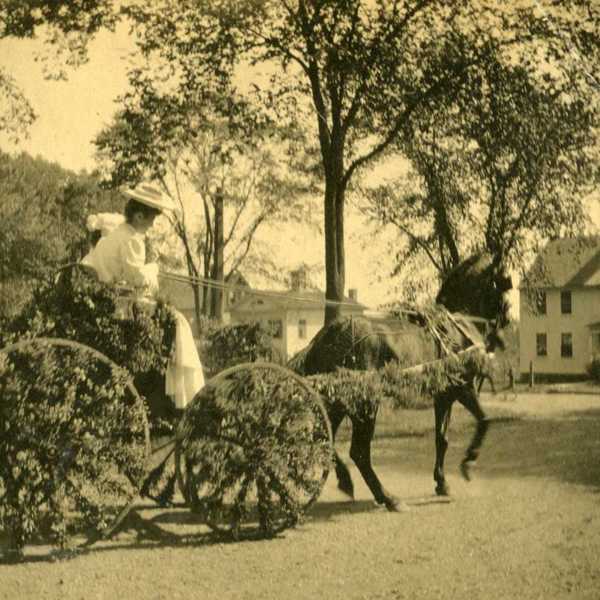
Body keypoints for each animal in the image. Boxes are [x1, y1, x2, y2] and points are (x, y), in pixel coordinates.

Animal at [290, 253, 510, 510]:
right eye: (503, 281)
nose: (507, 318)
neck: (456, 326)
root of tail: (328, 335)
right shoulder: (463, 389)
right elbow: (485, 420)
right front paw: (468, 462)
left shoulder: (443, 397)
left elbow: (442, 439)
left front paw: (442, 482)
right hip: (365, 404)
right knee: (359, 452)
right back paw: (387, 497)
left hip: (340, 403)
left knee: (326, 438)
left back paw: (346, 480)